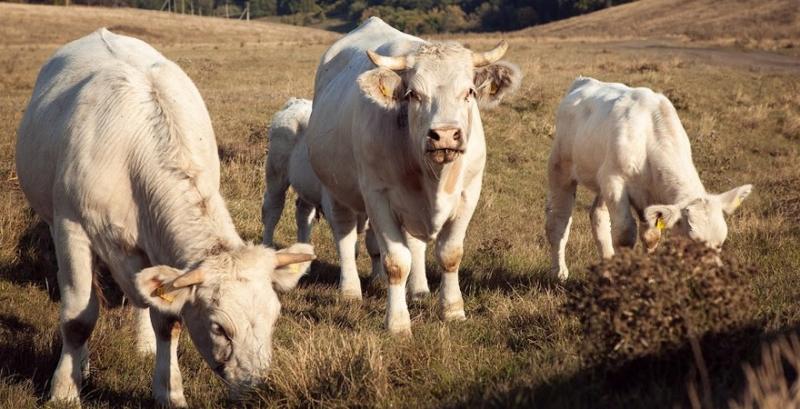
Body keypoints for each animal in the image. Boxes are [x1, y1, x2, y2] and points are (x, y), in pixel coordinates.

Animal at [15, 28, 314, 404]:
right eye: (218, 327)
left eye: (274, 317)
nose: (255, 386)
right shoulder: (72, 227)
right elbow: (78, 318)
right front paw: (64, 391)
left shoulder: (158, 244)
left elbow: (167, 321)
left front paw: (169, 392)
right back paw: (81, 365)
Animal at [304, 17, 520, 334]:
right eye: (413, 94)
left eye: (469, 91)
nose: (445, 134)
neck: (434, 177)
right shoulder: (378, 196)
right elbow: (396, 261)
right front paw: (397, 322)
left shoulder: (469, 193)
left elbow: (449, 254)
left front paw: (453, 310)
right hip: (335, 188)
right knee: (345, 235)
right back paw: (350, 290)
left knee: (413, 244)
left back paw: (417, 290)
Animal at [548, 76, 752, 278]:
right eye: (692, 241)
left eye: (721, 243)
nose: (712, 275)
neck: (648, 139)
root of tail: (584, 80)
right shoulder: (614, 182)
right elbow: (624, 234)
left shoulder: (648, 196)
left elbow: (651, 236)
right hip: (560, 164)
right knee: (559, 218)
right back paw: (559, 272)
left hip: (600, 179)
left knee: (597, 215)